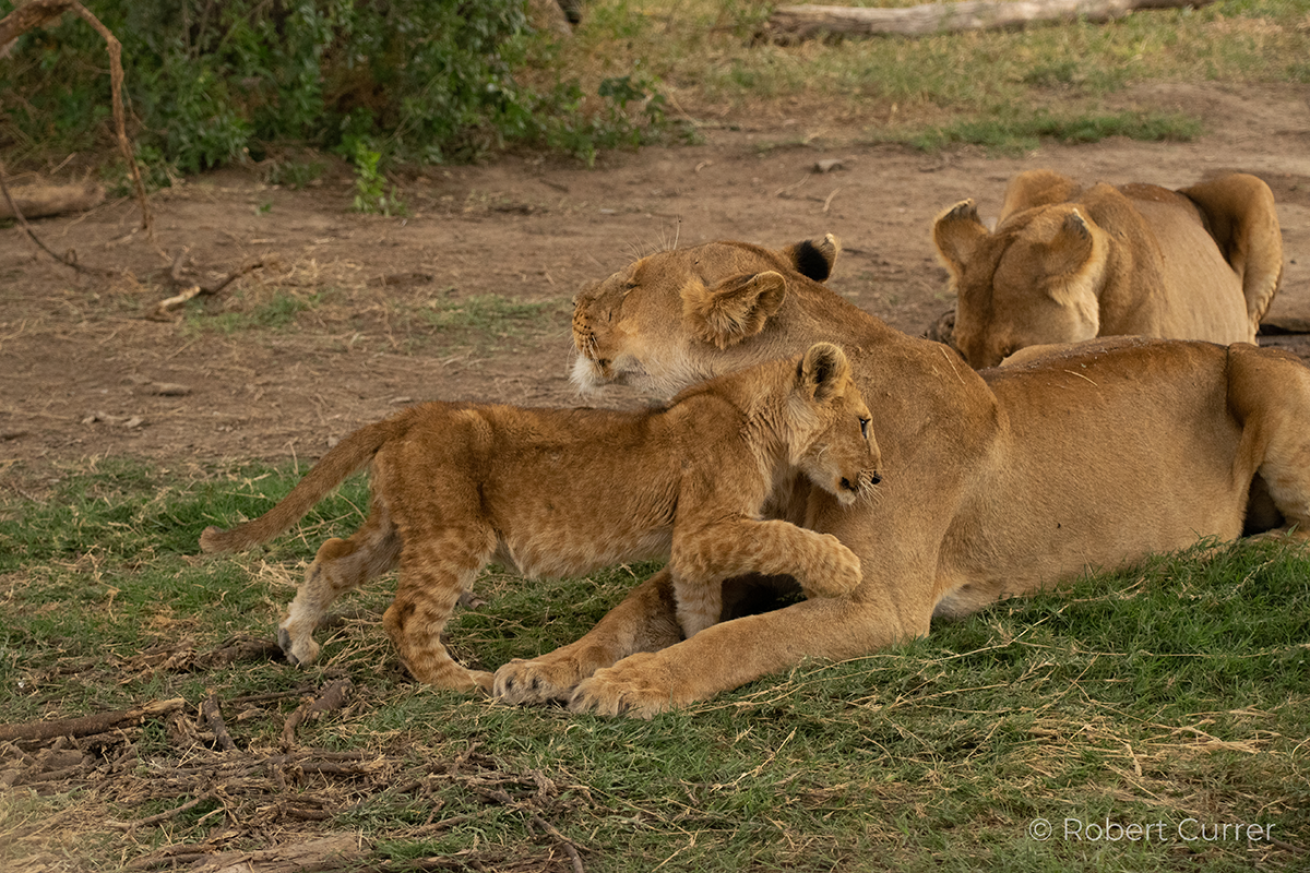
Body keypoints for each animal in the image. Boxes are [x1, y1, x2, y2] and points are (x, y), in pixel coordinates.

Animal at [492, 233, 1310, 713]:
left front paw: (631, 682)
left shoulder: (880, 604)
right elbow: (626, 616)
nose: (572, 303)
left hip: (1262, 374)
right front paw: (541, 667)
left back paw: (1227, 550)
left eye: (631, 285)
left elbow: (737, 641)